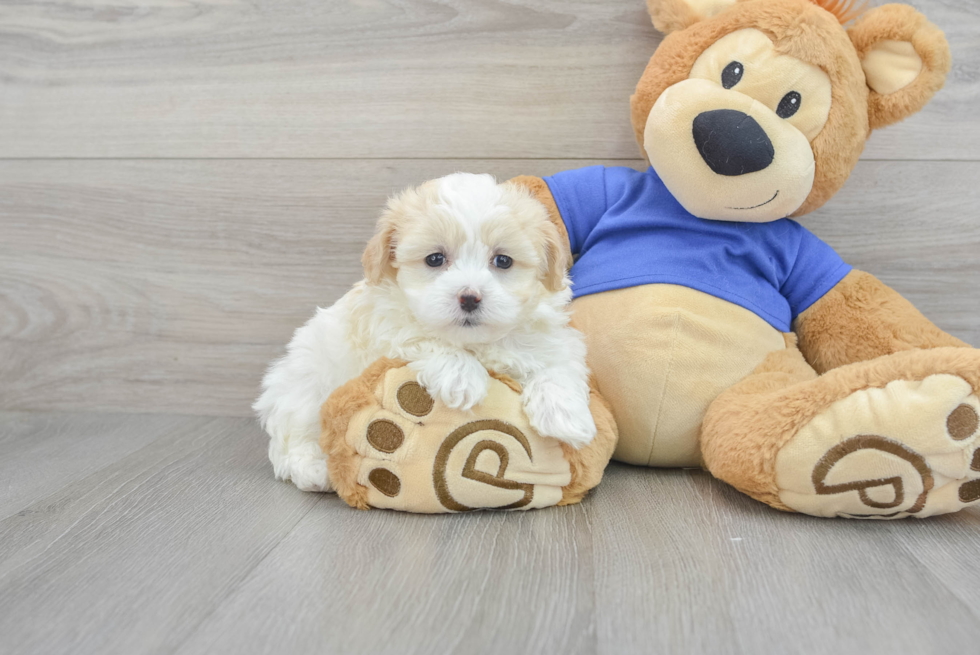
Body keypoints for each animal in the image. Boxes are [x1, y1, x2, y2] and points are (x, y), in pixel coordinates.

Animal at [253, 174, 596, 492]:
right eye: (435, 259)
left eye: (503, 260)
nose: (469, 297)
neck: (477, 344)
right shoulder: (386, 325)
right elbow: (422, 337)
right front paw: (462, 377)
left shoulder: (553, 337)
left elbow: (558, 363)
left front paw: (567, 416)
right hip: (304, 388)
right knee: (293, 437)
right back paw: (312, 469)